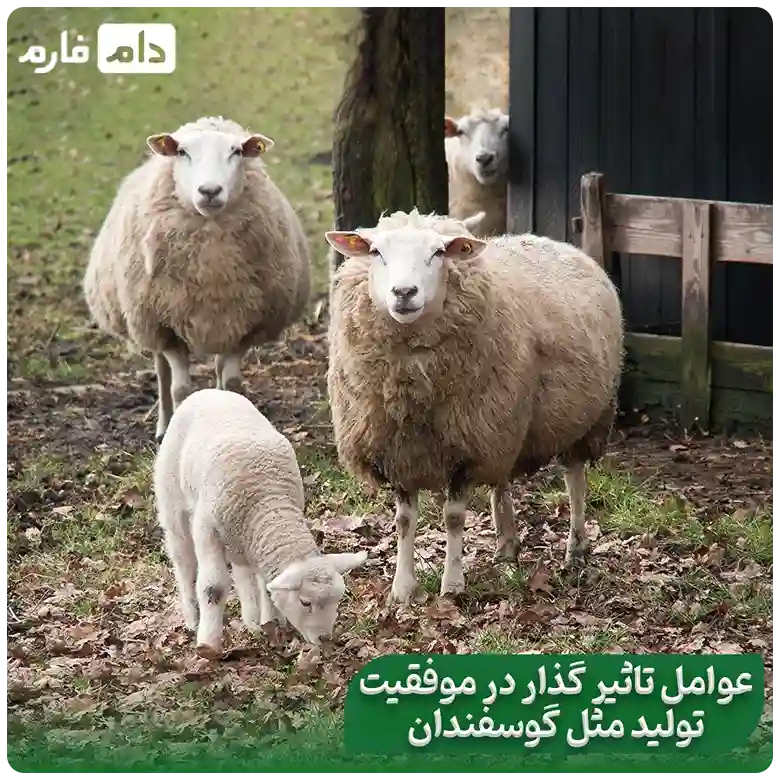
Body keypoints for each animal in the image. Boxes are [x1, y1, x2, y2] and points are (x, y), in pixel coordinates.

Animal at [83, 115, 311, 443]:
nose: (210, 190)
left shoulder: (244, 325)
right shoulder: (165, 327)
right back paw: (163, 425)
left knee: (217, 369)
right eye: (182, 152)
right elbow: (180, 389)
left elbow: (232, 384)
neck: (211, 267)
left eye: (236, 152)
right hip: (148, 323)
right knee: (162, 374)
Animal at [153, 387, 368, 652]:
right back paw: (192, 617)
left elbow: (264, 584)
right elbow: (213, 588)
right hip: (173, 501)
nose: (325, 639)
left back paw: (252, 620)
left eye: (338, 598)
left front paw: (270, 623)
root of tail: (208, 391)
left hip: (239, 538)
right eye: (305, 602)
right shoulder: (207, 531)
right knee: (182, 559)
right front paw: (208, 643)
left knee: (242, 572)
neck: (269, 500)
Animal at [324, 209, 624, 605]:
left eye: (438, 253)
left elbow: (453, 518)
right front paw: (402, 589)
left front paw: (452, 585)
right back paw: (507, 547)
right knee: (502, 481)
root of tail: (553, 241)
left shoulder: (466, 448)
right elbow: (403, 522)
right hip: (503, 424)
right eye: (375, 252)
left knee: (575, 483)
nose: (404, 293)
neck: (411, 390)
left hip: (581, 418)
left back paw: (575, 551)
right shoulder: (399, 451)